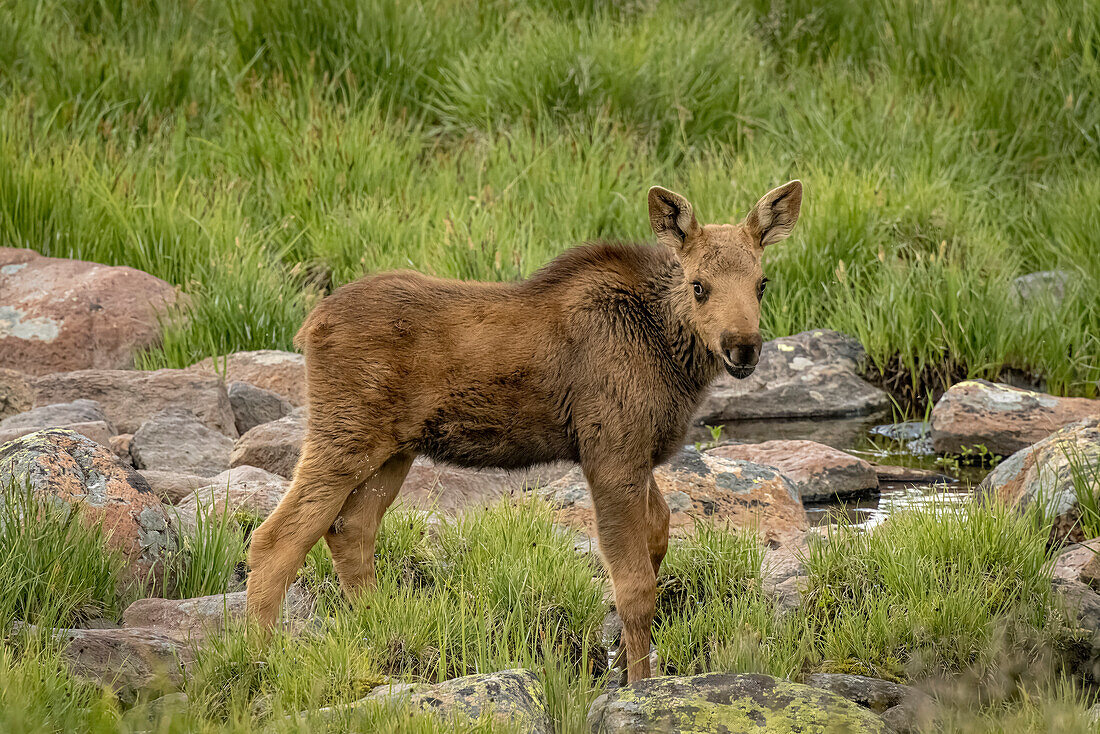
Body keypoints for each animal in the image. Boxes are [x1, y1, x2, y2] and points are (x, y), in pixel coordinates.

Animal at [245, 182, 805, 682]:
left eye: (762, 283)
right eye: (698, 285)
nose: (742, 347)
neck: (670, 355)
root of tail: (309, 326)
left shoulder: (638, 454)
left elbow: (659, 537)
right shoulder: (610, 451)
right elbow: (635, 588)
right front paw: (637, 684)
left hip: (392, 450)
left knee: (350, 530)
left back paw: (377, 632)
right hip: (344, 432)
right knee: (277, 538)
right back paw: (259, 660)